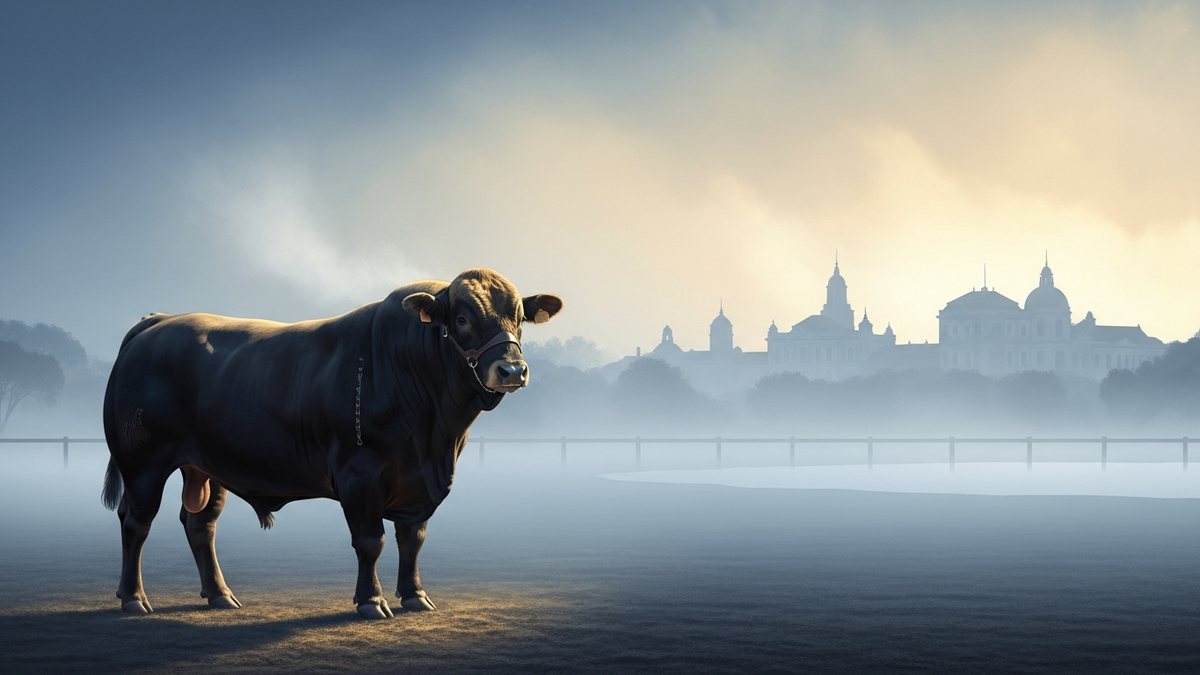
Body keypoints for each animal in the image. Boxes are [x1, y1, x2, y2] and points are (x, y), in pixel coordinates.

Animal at [101, 268, 562, 619]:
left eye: (519, 318)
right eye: (463, 320)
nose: (512, 370)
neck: (434, 436)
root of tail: (157, 321)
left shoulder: (418, 483)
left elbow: (412, 539)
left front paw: (415, 596)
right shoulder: (360, 474)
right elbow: (371, 540)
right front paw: (371, 601)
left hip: (206, 466)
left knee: (200, 524)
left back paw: (219, 595)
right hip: (143, 463)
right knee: (136, 522)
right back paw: (134, 599)